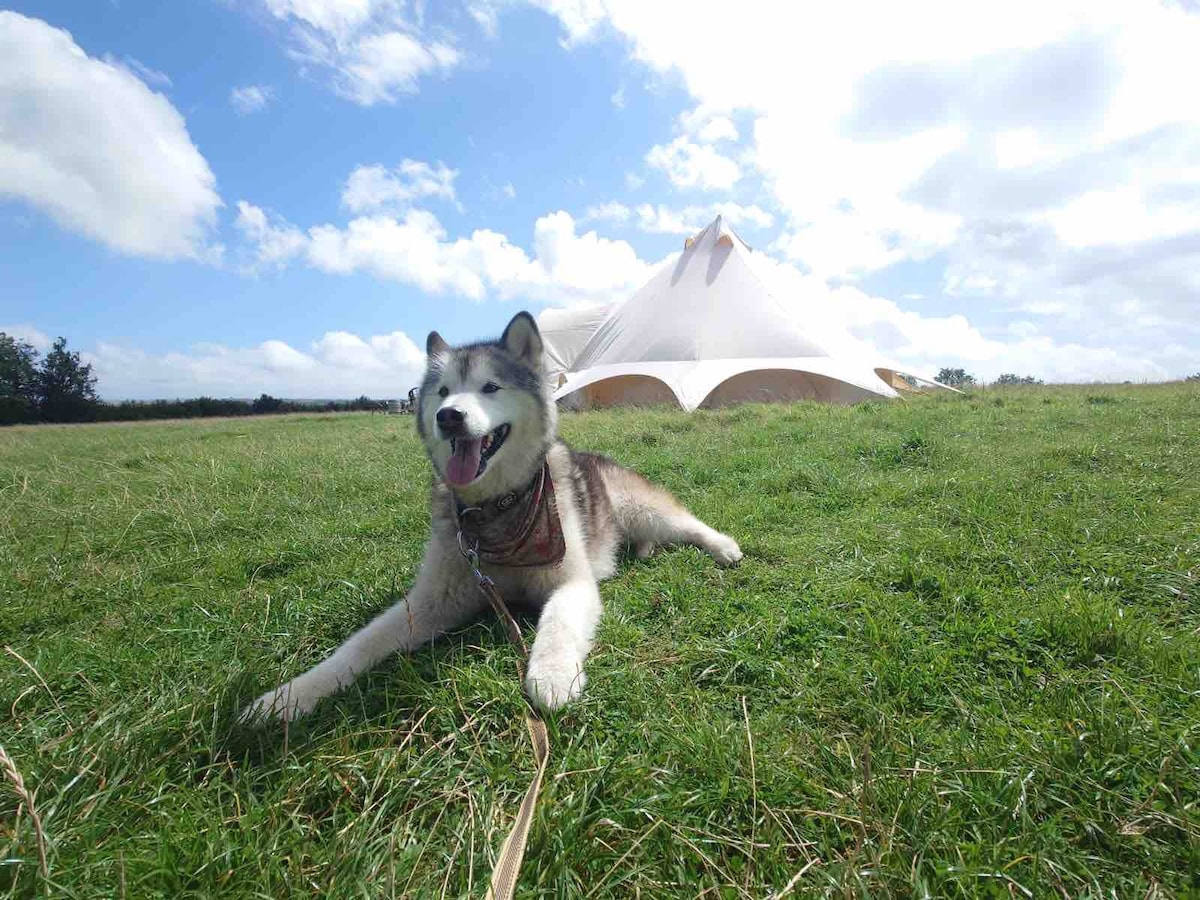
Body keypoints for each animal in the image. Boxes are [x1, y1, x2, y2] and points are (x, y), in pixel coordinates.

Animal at [242, 314, 739, 724]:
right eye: (442, 393)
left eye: (491, 388)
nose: (449, 416)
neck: (499, 508)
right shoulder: (432, 599)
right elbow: (362, 642)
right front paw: (288, 697)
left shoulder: (570, 580)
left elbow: (557, 624)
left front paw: (552, 677)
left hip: (641, 508)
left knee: (688, 523)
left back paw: (725, 547)